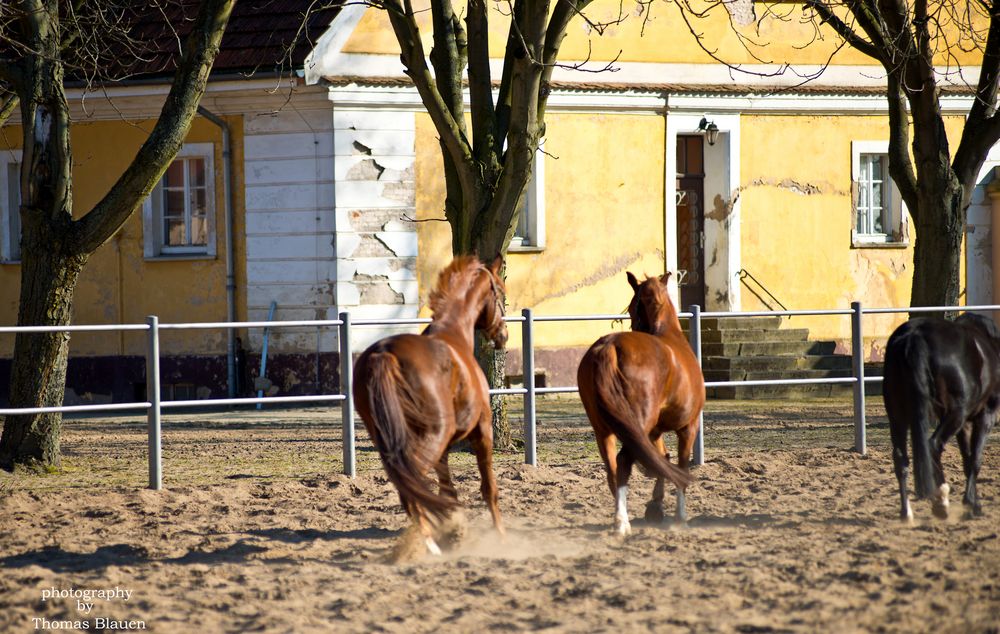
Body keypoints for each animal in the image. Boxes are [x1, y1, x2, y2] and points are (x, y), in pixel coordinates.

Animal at [352, 254, 508, 556]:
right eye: (502, 294)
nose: (504, 335)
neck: (455, 334)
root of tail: (384, 354)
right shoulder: (482, 430)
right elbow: (489, 488)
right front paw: (499, 534)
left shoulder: (445, 448)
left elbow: (447, 488)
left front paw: (455, 528)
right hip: (431, 437)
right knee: (411, 486)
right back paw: (426, 544)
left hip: (392, 441)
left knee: (409, 487)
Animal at [580, 272, 704, 532]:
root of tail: (610, 346)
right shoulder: (688, 427)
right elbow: (680, 465)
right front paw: (680, 517)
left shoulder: (654, 432)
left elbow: (661, 458)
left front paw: (656, 506)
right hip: (635, 426)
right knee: (623, 461)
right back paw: (622, 523)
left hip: (603, 429)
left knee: (612, 467)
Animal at [884, 314, 1000, 520]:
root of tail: (914, 336)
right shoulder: (985, 416)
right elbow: (975, 459)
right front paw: (972, 505)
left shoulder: (964, 425)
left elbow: (967, 460)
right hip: (955, 414)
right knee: (933, 445)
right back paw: (941, 502)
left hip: (897, 416)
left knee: (900, 458)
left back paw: (907, 513)